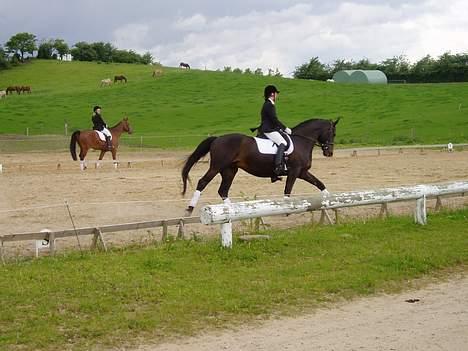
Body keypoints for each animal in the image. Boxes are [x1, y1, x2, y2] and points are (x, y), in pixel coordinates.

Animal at [182, 119, 340, 216]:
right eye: (332, 133)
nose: (329, 153)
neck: (301, 142)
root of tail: (217, 138)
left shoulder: (302, 172)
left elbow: (320, 184)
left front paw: (333, 202)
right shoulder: (294, 171)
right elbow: (288, 190)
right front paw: (287, 210)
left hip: (229, 170)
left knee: (223, 191)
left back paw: (233, 210)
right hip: (216, 167)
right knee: (203, 182)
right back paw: (189, 209)